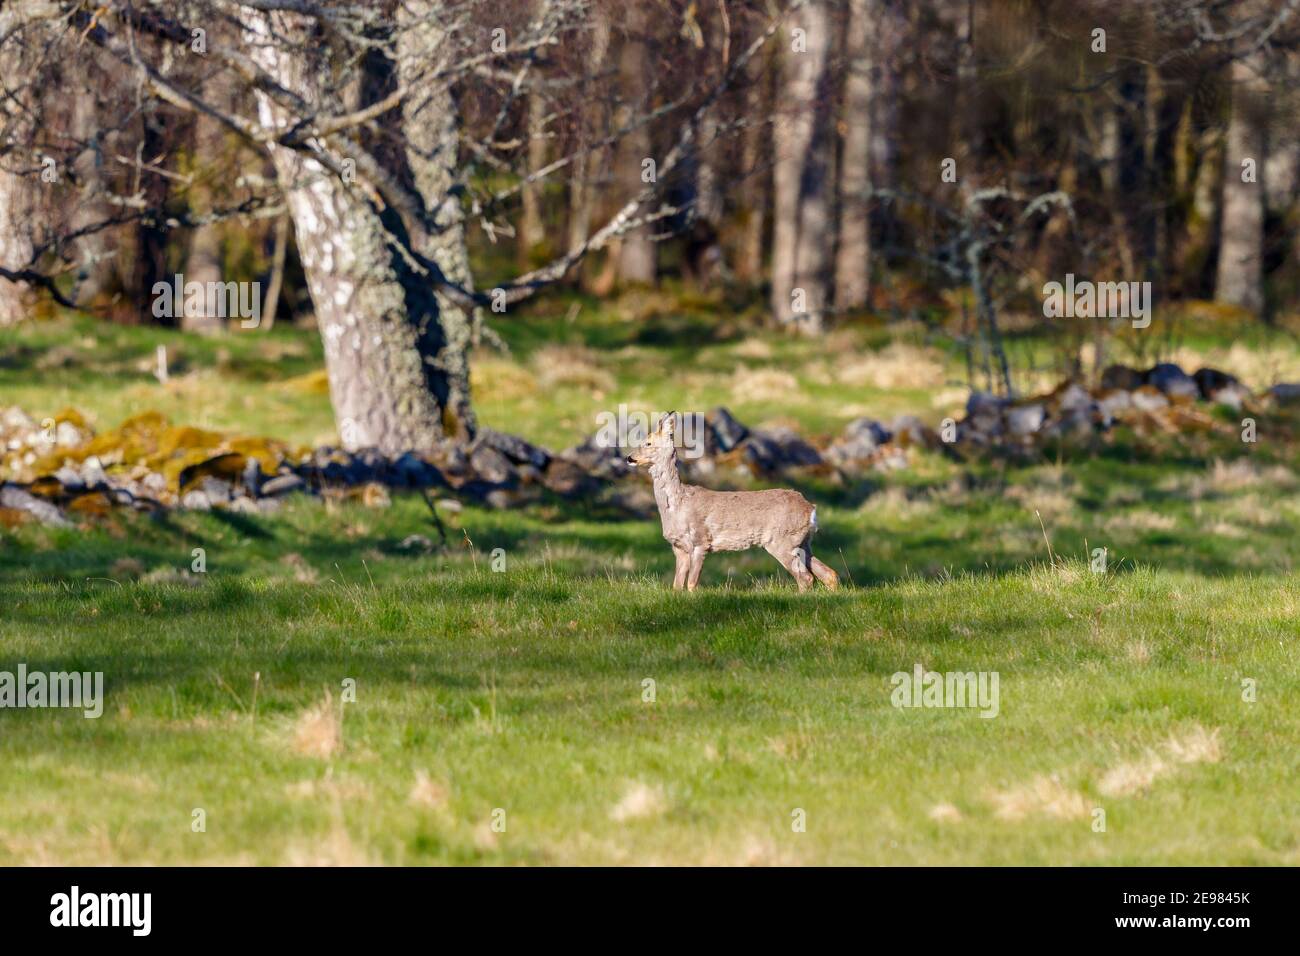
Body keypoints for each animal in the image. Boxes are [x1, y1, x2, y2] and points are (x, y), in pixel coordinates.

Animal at [626, 412, 840, 592]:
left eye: (648, 443)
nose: (629, 458)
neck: (677, 505)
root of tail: (811, 509)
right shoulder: (679, 548)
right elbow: (677, 586)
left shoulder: (700, 541)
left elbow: (692, 584)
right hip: (803, 542)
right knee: (829, 574)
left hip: (781, 540)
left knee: (806, 578)